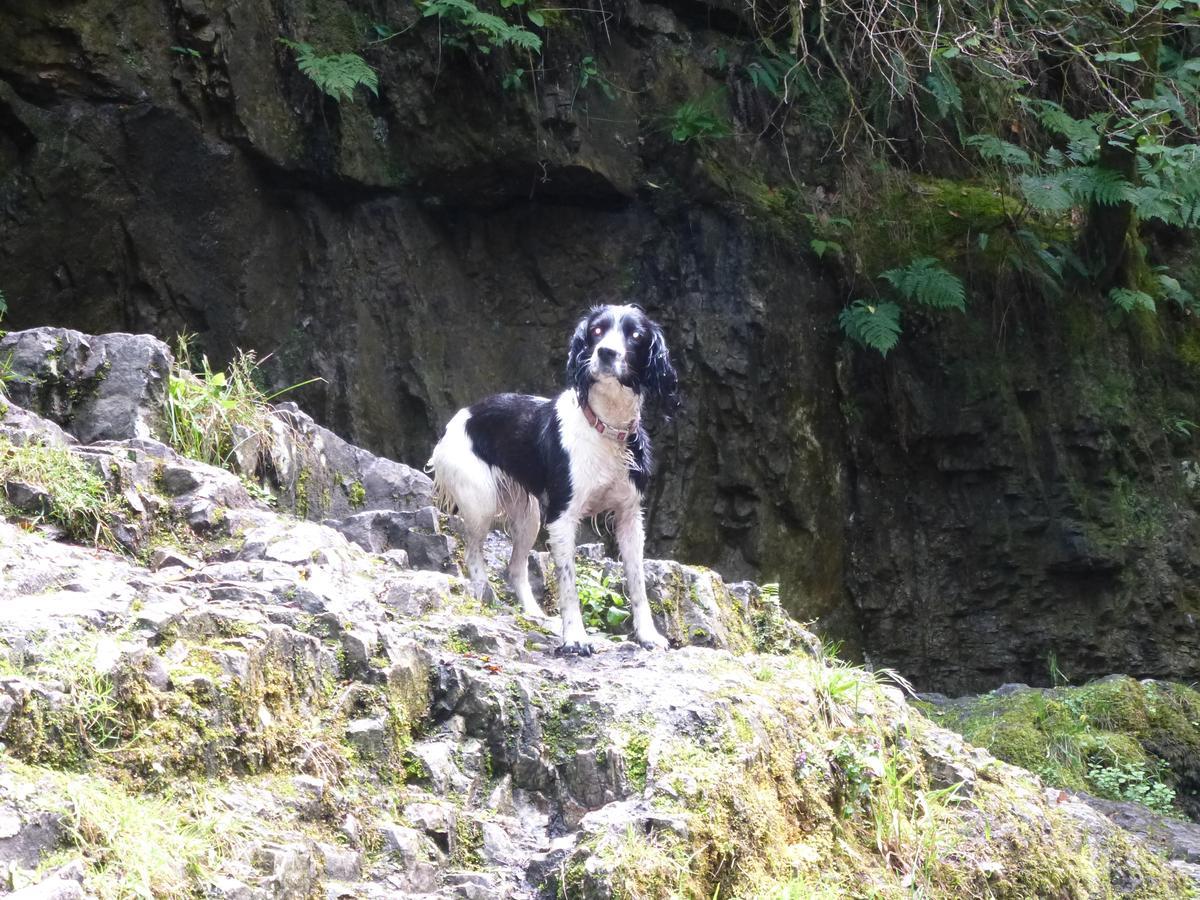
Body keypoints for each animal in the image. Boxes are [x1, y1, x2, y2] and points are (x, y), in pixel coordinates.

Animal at [427, 304, 681, 657]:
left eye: (635, 335)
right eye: (597, 331)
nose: (606, 352)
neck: (605, 429)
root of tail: (460, 417)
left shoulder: (630, 518)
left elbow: (638, 581)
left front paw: (648, 635)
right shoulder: (562, 517)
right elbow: (568, 583)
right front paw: (574, 638)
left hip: (529, 517)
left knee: (515, 566)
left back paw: (533, 613)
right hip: (481, 504)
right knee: (473, 556)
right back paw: (484, 599)